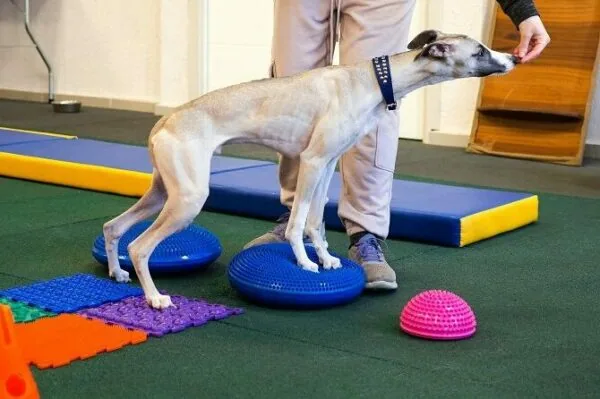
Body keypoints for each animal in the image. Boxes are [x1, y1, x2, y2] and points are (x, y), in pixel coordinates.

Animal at [101, 29, 516, 310]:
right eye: (480, 50)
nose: (513, 58)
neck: (371, 79)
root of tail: (164, 121)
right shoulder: (312, 161)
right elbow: (298, 222)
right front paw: (303, 262)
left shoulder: (327, 165)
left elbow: (316, 220)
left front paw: (327, 259)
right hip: (188, 198)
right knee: (139, 246)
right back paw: (155, 298)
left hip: (164, 192)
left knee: (114, 227)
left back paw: (118, 273)